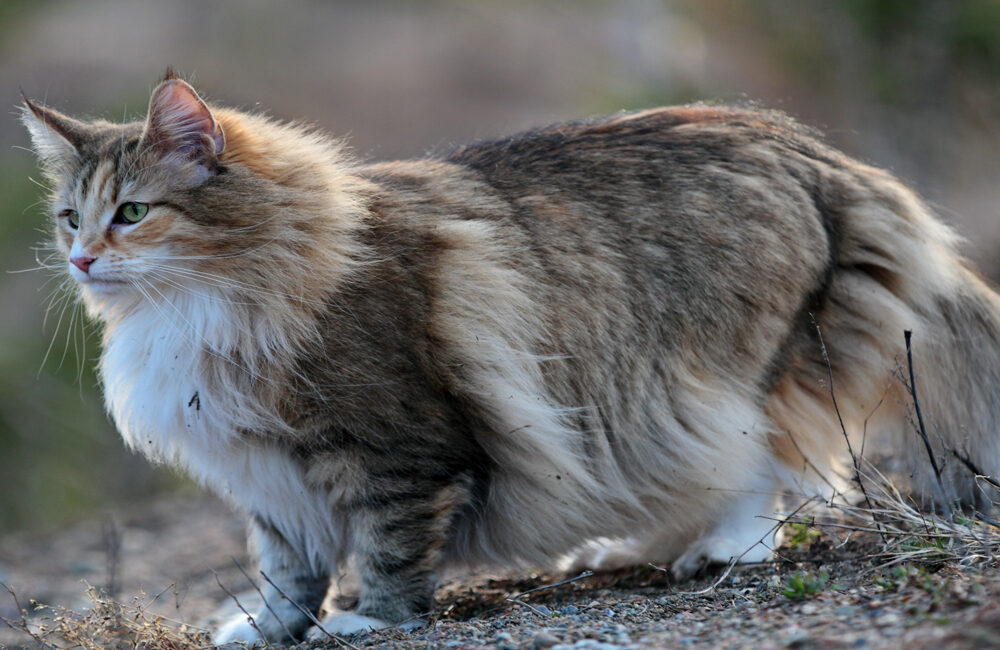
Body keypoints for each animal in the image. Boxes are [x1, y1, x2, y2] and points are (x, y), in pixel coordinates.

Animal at [19, 72, 1000, 644]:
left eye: (133, 214)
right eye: (71, 217)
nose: (83, 260)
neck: (200, 305)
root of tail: (816, 153)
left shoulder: (392, 448)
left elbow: (386, 550)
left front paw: (365, 622)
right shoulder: (266, 472)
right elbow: (285, 565)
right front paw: (267, 628)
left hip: (723, 378)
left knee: (773, 467)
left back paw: (719, 548)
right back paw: (620, 548)